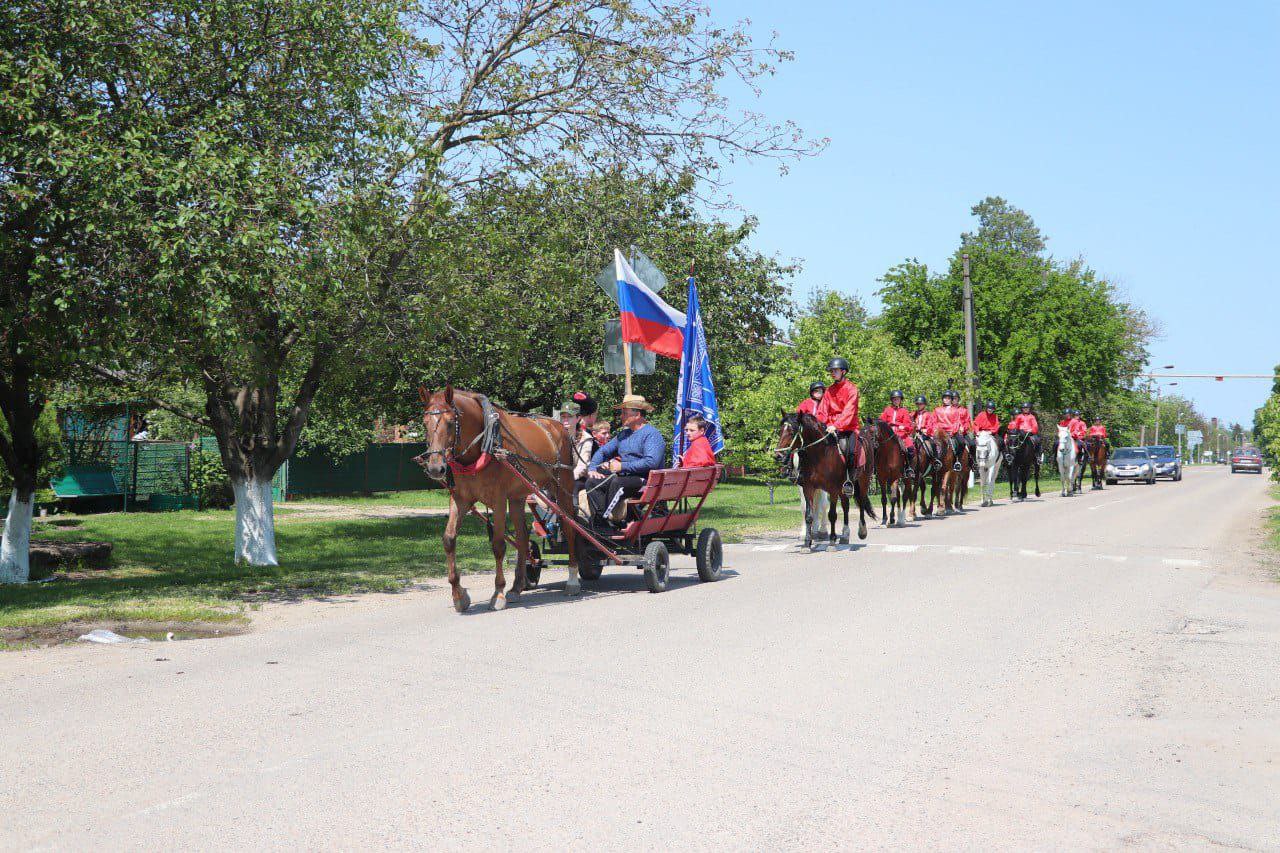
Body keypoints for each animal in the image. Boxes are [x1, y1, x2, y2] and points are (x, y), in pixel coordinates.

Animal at [414, 384, 581, 612]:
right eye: (425, 423)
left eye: (449, 423)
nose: (435, 468)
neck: (483, 445)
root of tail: (559, 426)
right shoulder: (460, 499)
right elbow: (449, 540)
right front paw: (458, 594)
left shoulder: (499, 500)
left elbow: (498, 545)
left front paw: (498, 592)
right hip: (519, 496)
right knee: (522, 537)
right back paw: (517, 587)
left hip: (561, 488)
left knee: (570, 527)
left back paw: (572, 579)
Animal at [773, 409, 875, 545]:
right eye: (780, 430)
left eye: (793, 432)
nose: (778, 455)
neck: (820, 455)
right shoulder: (808, 487)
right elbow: (808, 513)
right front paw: (807, 541)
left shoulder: (832, 489)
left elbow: (831, 513)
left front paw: (830, 538)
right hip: (844, 487)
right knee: (846, 506)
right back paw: (845, 535)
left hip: (863, 481)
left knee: (862, 502)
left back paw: (862, 531)